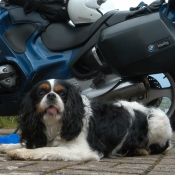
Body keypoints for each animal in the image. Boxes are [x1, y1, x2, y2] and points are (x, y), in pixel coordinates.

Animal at [0, 80, 172, 161]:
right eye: (41, 93)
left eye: (62, 94)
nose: (51, 96)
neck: (55, 124)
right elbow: (28, 144)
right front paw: (7, 146)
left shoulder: (80, 149)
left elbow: (45, 149)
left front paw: (21, 152)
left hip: (158, 121)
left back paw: (142, 150)